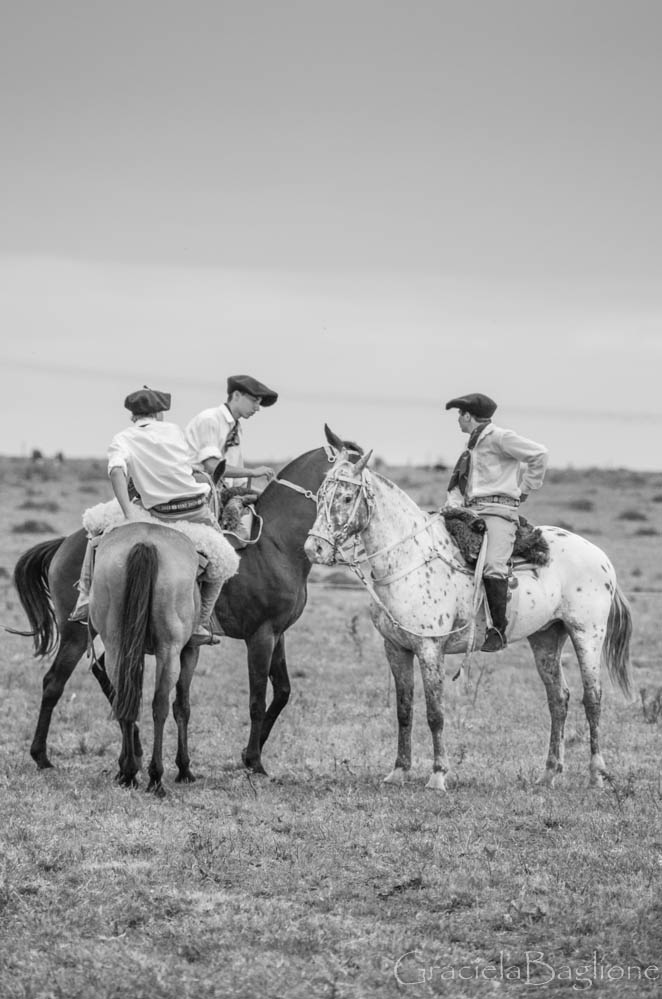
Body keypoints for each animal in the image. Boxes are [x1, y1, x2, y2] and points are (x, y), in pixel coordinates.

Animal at [13, 430, 360, 772]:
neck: (274, 544)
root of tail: (66, 542)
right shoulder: (260, 635)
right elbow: (257, 700)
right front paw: (254, 760)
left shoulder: (278, 633)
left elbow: (283, 692)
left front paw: (248, 753)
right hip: (75, 633)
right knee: (54, 682)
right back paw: (42, 755)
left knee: (106, 674)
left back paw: (132, 749)